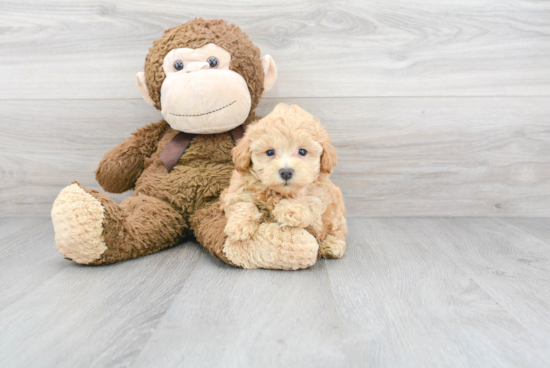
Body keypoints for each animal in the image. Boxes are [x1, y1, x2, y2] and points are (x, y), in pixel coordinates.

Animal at [221, 102, 348, 268]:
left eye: (302, 151)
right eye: (270, 152)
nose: (286, 172)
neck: (278, 192)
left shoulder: (317, 204)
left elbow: (304, 205)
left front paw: (290, 211)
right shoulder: (236, 192)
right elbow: (243, 205)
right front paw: (238, 226)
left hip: (335, 209)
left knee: (337, 228)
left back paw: (333, 245)